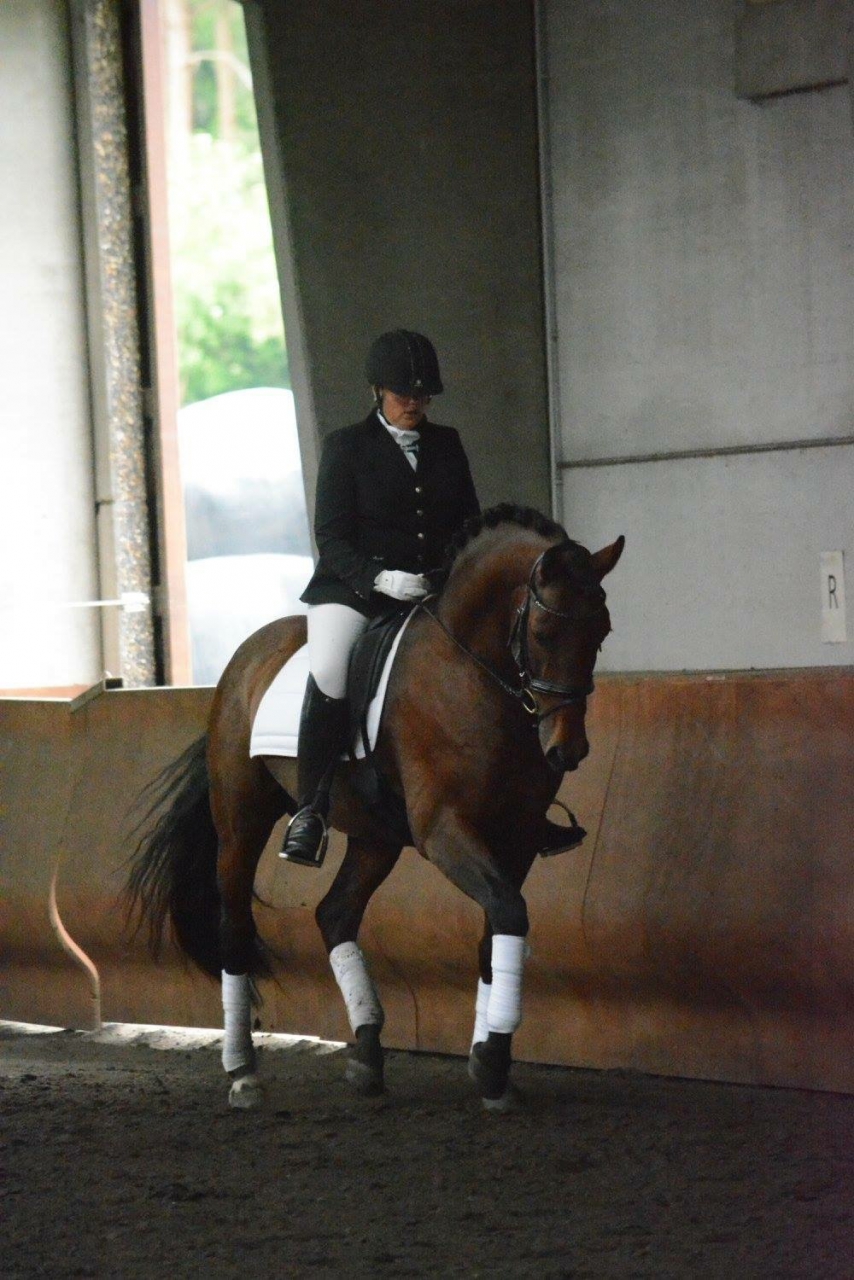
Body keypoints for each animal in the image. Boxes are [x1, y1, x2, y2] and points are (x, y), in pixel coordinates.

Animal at [127, 504, 624, 1111]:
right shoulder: (444, 831)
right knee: (236, 928)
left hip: (375, 834)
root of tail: (244, 661)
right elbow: (508, 913)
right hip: (242, 821)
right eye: (545, 631)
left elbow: (498, 931)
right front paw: (490, 1064)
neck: (474, 673)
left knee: (335, 912)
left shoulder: (519, 836)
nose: (567, 751)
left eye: (601, 631)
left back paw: (366, 1055)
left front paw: (492, 1066)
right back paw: (243, 1072)